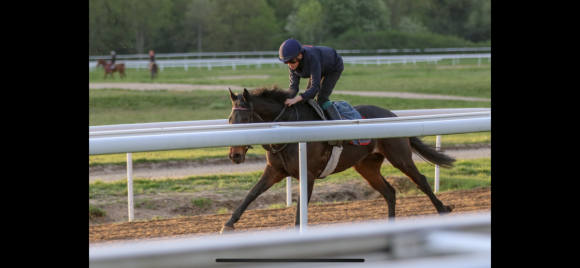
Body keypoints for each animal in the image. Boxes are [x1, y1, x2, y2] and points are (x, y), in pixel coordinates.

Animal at [220, 86, 456, 232]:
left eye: (245, 120)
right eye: (230, 120)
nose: (234, 155)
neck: (287, 128)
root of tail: (393, 115)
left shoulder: (308, 174)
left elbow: (301, 207)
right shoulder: (275, 170)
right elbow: (252, 193)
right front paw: (229, 223)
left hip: (400, 157)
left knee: (421, 180)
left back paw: (442, 209)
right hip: (367, 167)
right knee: (389, 192)